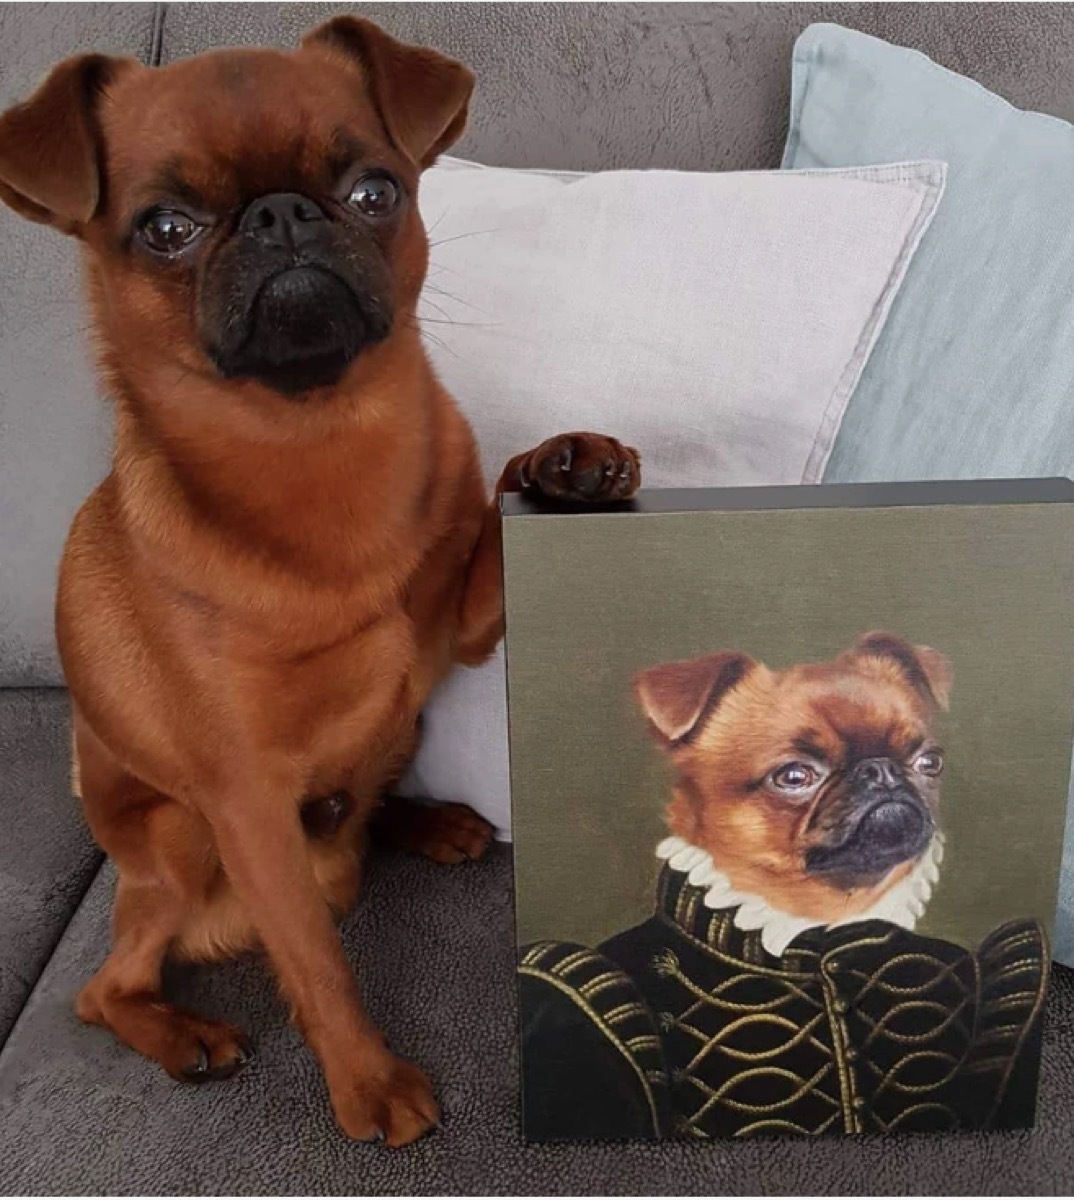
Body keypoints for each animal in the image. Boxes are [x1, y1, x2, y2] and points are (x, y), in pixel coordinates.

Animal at [0, 16, 638, 1142]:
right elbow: (315, 958)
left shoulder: (466, 628)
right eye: (165, 228)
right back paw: (183, 1034)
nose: (282, 215)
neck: (316, 449)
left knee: (365, 809)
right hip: (179, 846)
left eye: (375, 191)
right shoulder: (246, 801)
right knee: (104, 987)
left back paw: (429, 821)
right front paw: (368, 1081)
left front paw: (565, 463)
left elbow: (492, 524)